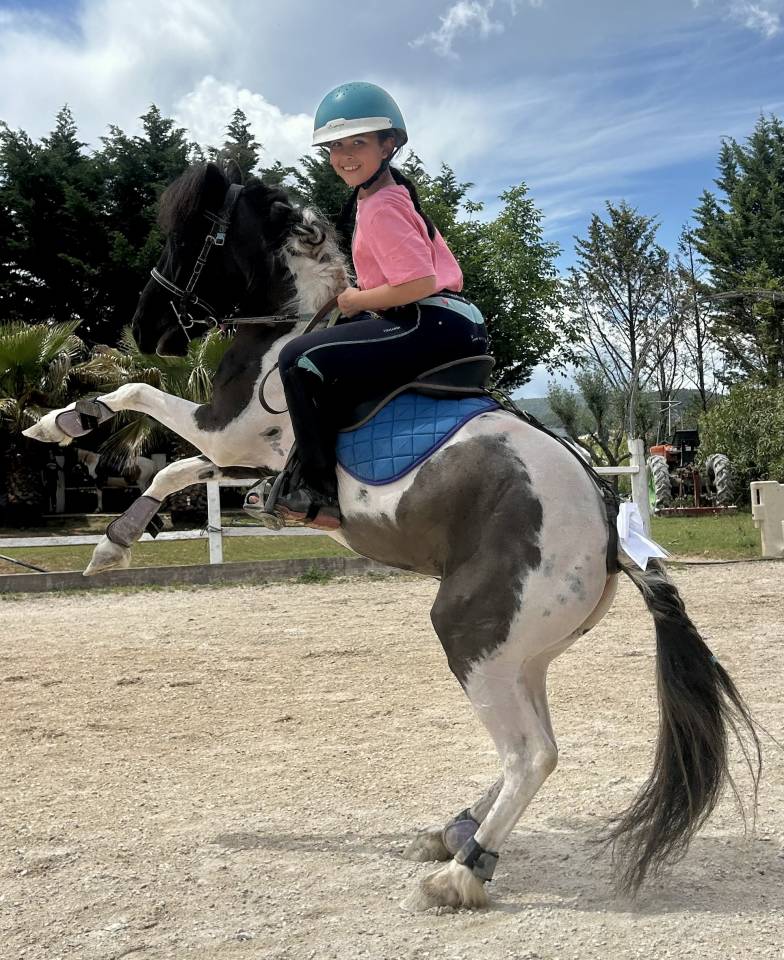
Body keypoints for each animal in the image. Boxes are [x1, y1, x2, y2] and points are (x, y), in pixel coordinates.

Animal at [24, 161, 760, 911]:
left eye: (190, 236)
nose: (143, 328)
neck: (287, 331)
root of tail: (610, 526)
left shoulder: (225, 429)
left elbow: (141, 398)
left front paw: (60, 421)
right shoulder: (242, 456)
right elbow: (175, 468)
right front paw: (114, 541)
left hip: (470, 632)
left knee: (532, 753)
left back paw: (464, 871)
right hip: (521, 652)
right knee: (534, 741)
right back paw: (453, 831)